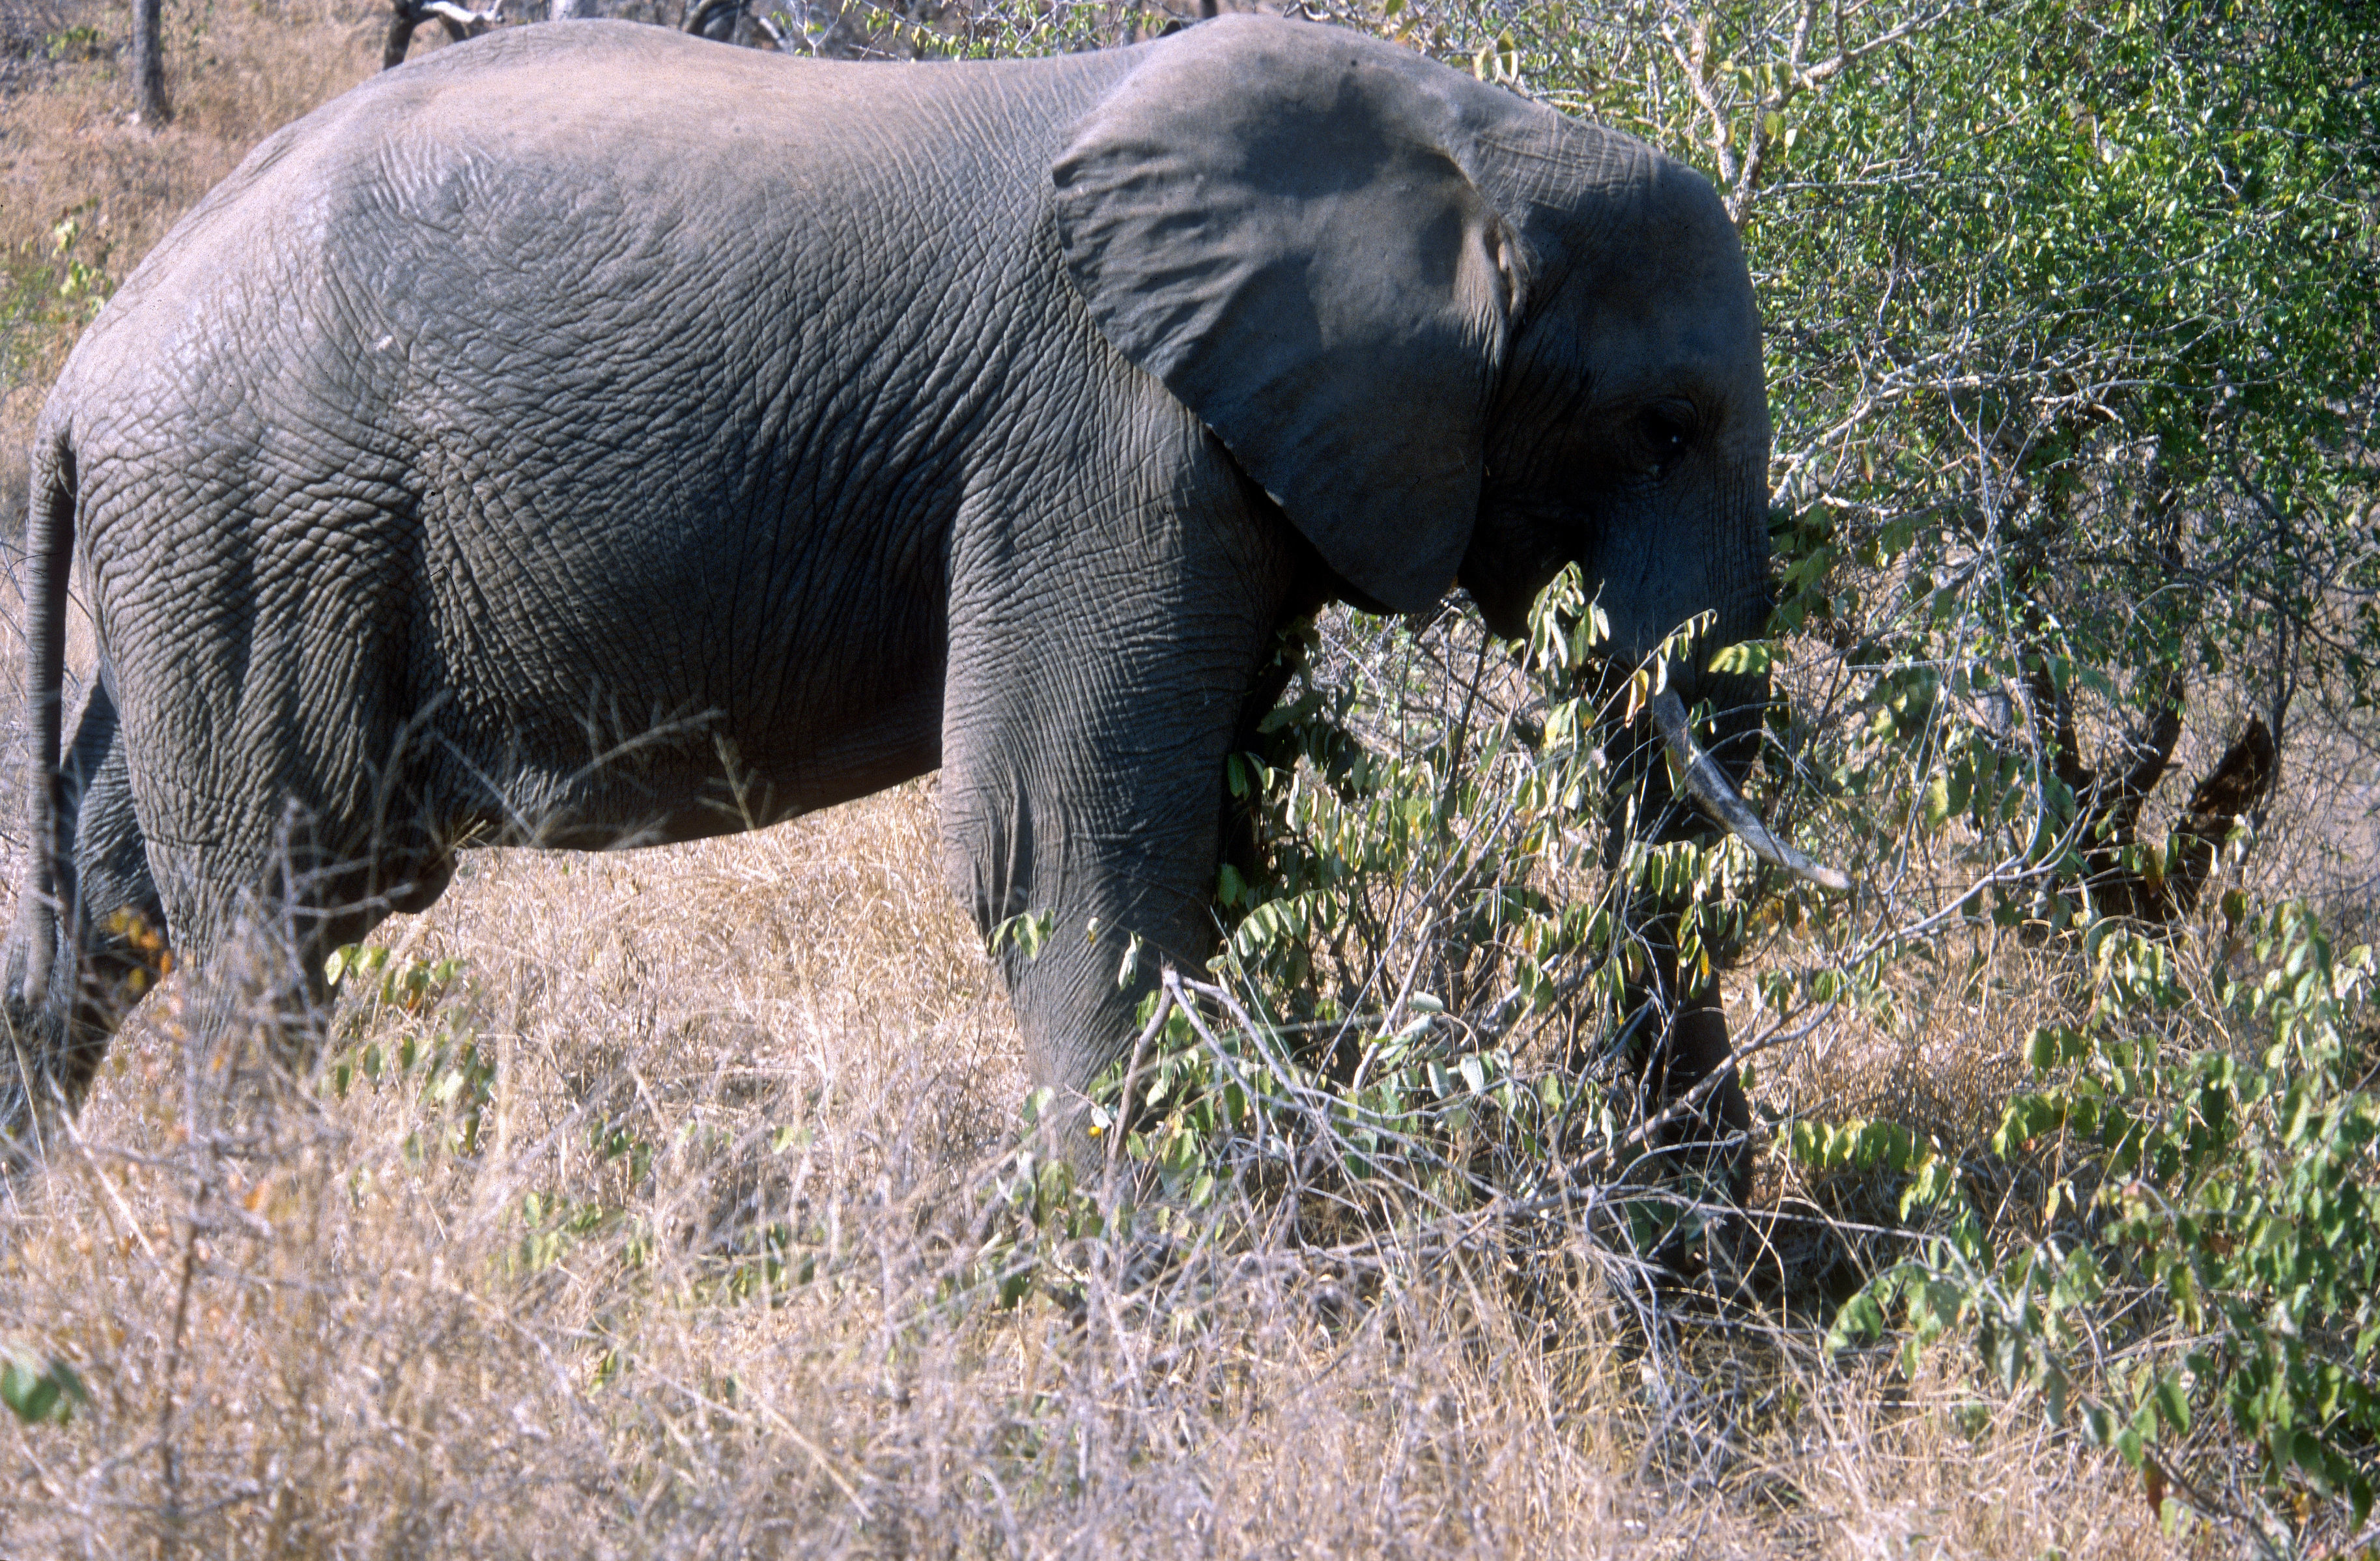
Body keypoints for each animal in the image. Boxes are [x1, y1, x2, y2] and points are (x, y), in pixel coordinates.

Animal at [0, 15, 1837, 1170]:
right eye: (1669, 427)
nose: (1715, 1228)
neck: (1471, 128)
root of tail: (86, 371)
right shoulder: (1100, 432)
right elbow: (1059, 839)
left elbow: (1210, 828)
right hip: (265, 518)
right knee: (277, 908)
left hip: (217, 548)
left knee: (116, 890)